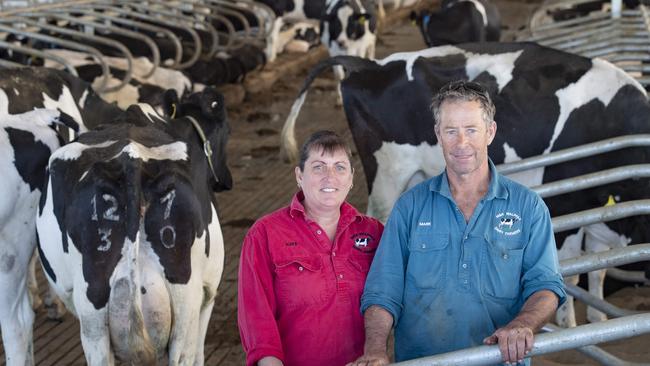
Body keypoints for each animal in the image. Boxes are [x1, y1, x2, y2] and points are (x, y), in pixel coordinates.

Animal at [36, 88, 230, 366]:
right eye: (226, 129)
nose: (226, 180)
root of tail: (131, 160)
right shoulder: (209, 291)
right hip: (186, 305)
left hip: (93, 319)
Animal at [280, 41, 648, 328]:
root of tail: (370, 64)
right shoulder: (569, 198)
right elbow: (571, 271)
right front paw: (569, 323)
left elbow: (600, 265)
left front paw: (599, 317)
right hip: (387, 174)